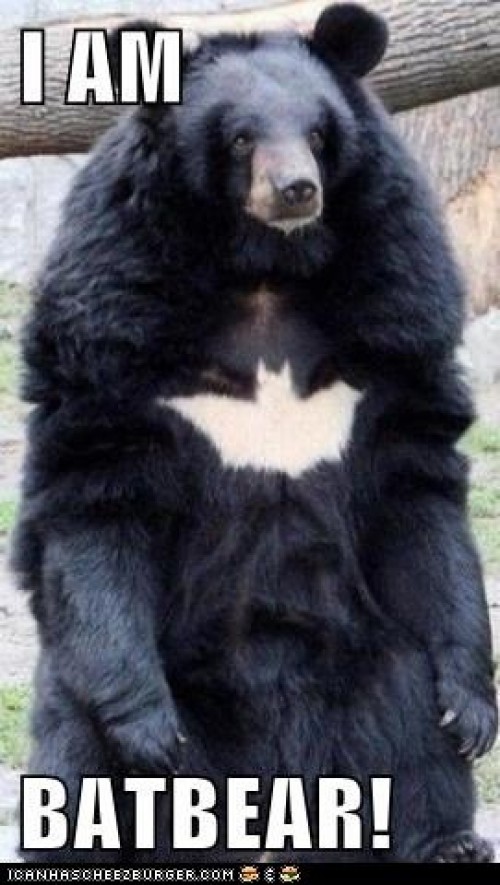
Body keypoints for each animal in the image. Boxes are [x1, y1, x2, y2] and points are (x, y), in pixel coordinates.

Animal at [12, 2, 498, 864]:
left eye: (318, 131)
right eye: (240, 137)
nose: (297, 189)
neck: (265, 266)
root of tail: (273, 792)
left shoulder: (398, 298)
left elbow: (416, 477)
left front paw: (473, 707)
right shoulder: (110, 307)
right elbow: (98, 482)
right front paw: (150, 736)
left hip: (367, 655)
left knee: (410, 726)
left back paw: (445, 838)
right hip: (97, 678)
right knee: (76, 753)